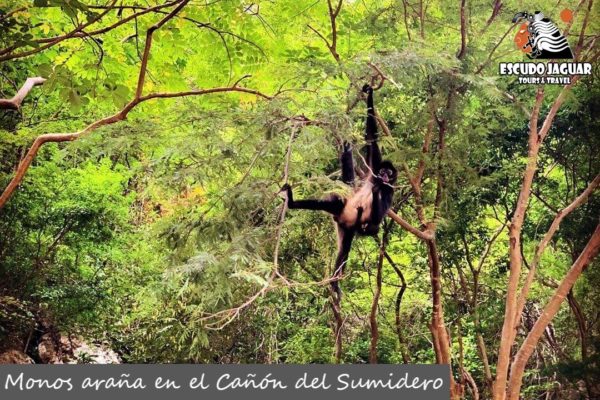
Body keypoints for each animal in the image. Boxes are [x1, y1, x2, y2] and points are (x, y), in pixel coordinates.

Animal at [282, 83, 396, 296]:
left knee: (348, 246)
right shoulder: (373, 170)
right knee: (333, 203)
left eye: (389, 173)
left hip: (348, 227)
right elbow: (371, 139)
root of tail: (341, 219)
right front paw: (369, 93)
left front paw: (377, 192)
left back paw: (334, 283)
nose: (384, 176)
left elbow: (377, 219)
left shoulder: (389, 192)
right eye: (383, 170)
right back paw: (292, 202)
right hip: (341, 209)